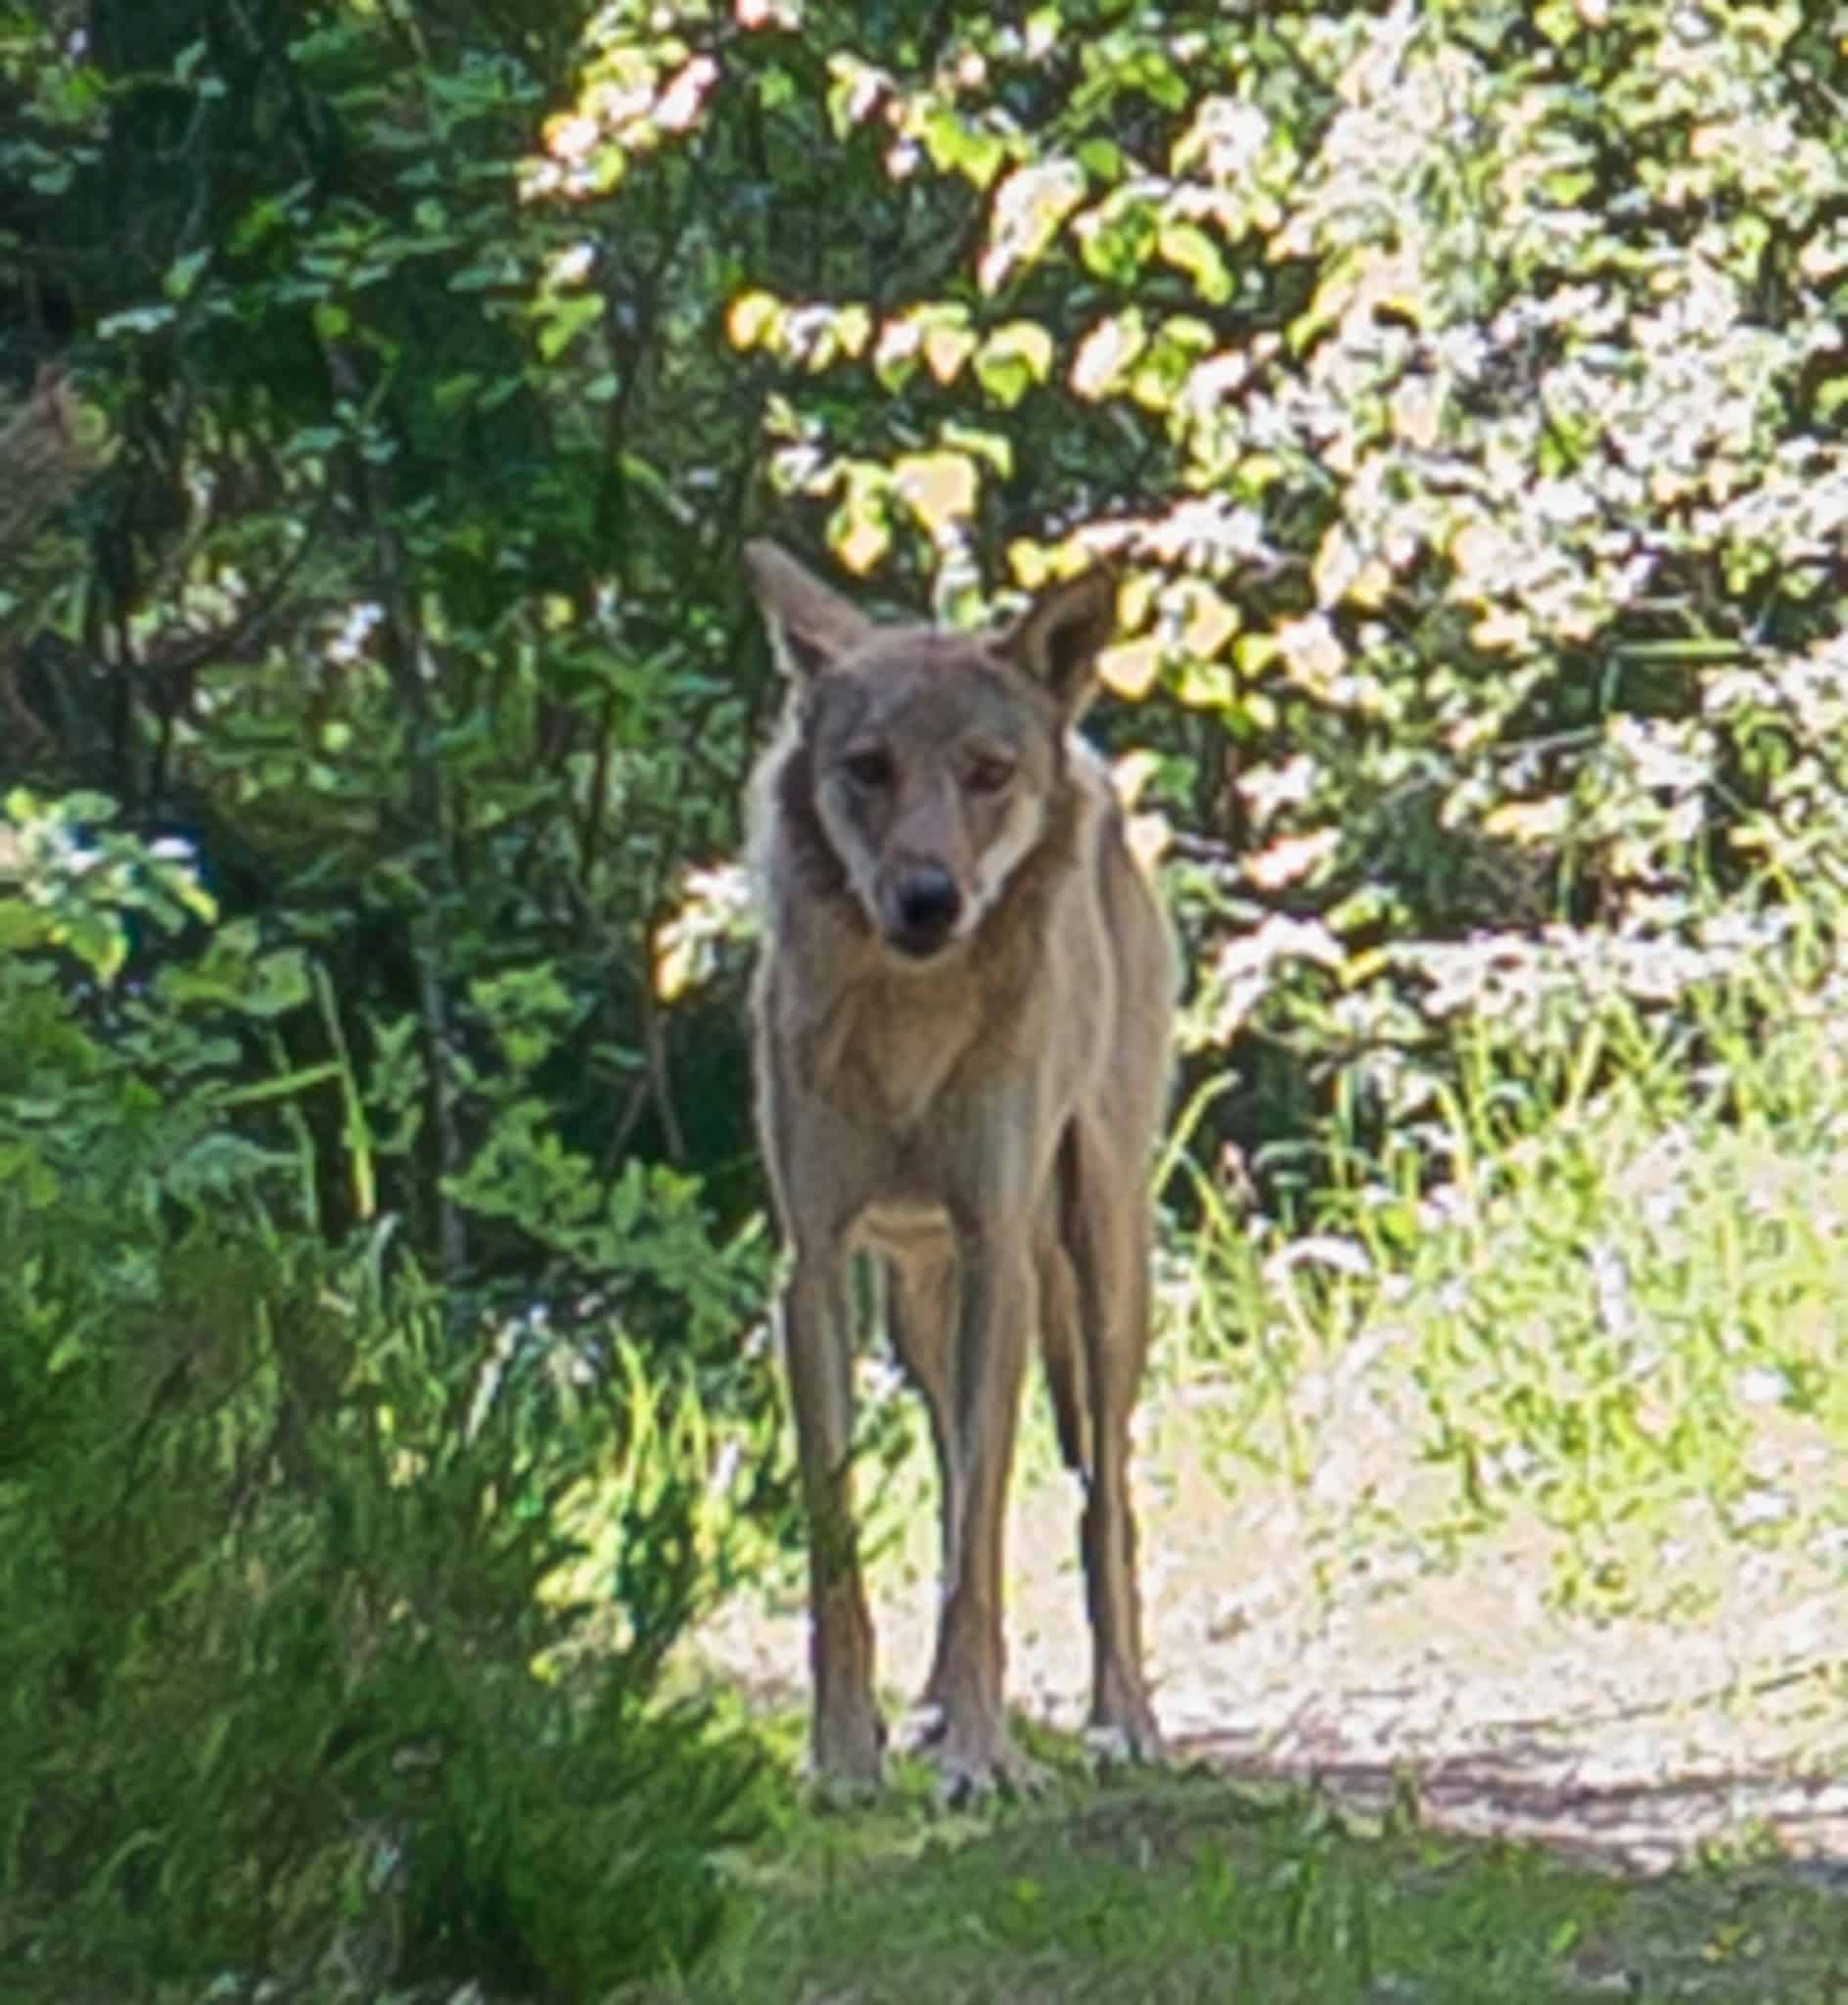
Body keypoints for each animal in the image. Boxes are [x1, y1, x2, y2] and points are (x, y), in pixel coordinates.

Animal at [741, 540, 1170, 1796]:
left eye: (986, 773)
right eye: (866, 770)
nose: (927, 899)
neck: (908, 1024)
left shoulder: (995, 1248)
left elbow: (986, 1536)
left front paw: (986, 1757)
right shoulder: (813, 1269)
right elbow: (844, 1535)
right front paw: (845, 1758)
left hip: (1097, 1269)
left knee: (1102, 1501)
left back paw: (1123, 1720)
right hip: (918, 1311)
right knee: (948, 1476)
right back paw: (930, 1707)